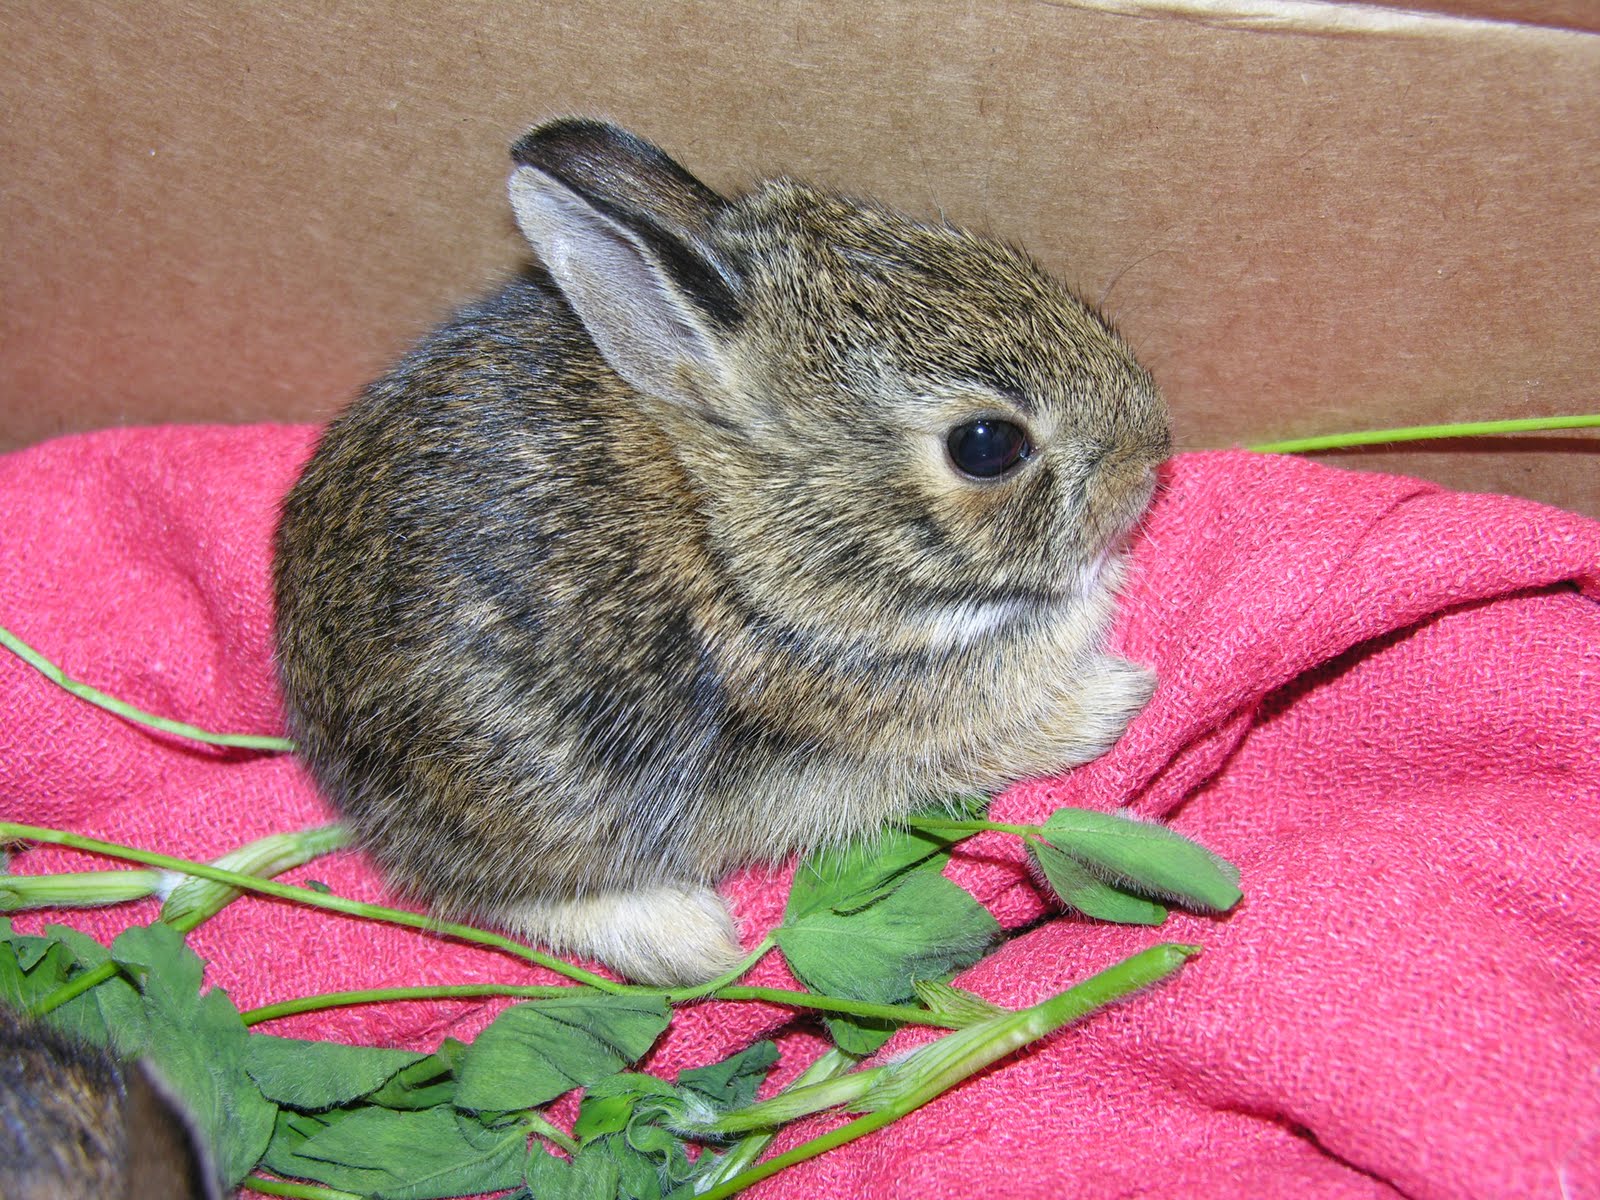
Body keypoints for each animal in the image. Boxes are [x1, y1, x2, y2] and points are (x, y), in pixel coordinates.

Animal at [273, 118, 1170, 986]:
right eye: (986, 445)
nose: (1153, 454)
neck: (738, 543)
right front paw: (1120, 694)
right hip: (534, 802)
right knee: (501, 895)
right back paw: (692, 940)